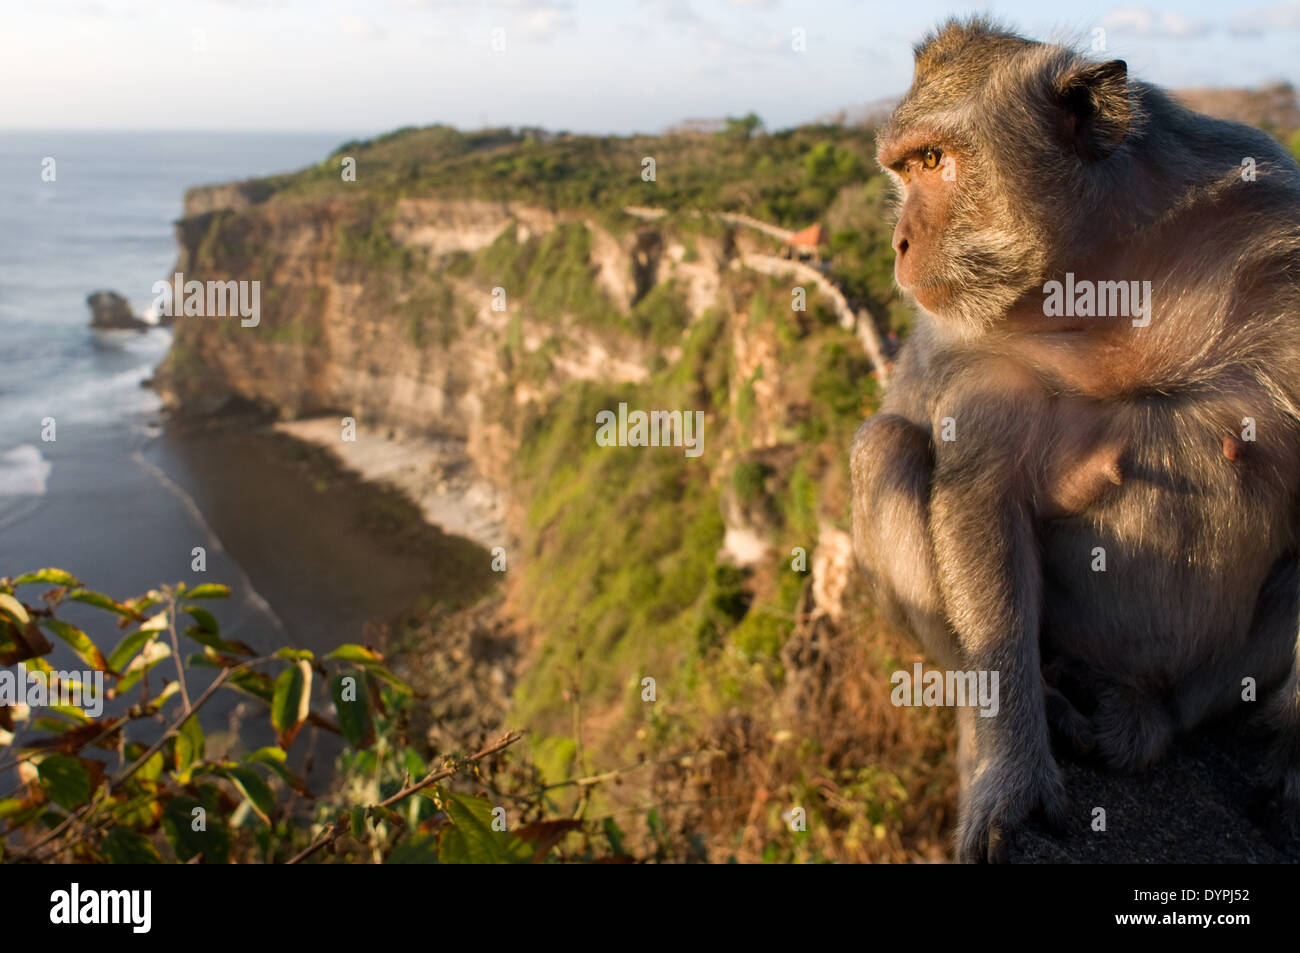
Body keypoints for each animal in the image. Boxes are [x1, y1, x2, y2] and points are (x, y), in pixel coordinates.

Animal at [851, 17, 1300, 862]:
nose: (897, 240)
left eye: (935, 160)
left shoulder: (1276, 241)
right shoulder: (973, 352)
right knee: (884, 446)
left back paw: (1149, 716)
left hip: (1215, 673)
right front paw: (1011, 774)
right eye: (905, 167)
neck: (1106, 283)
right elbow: (981, 503)